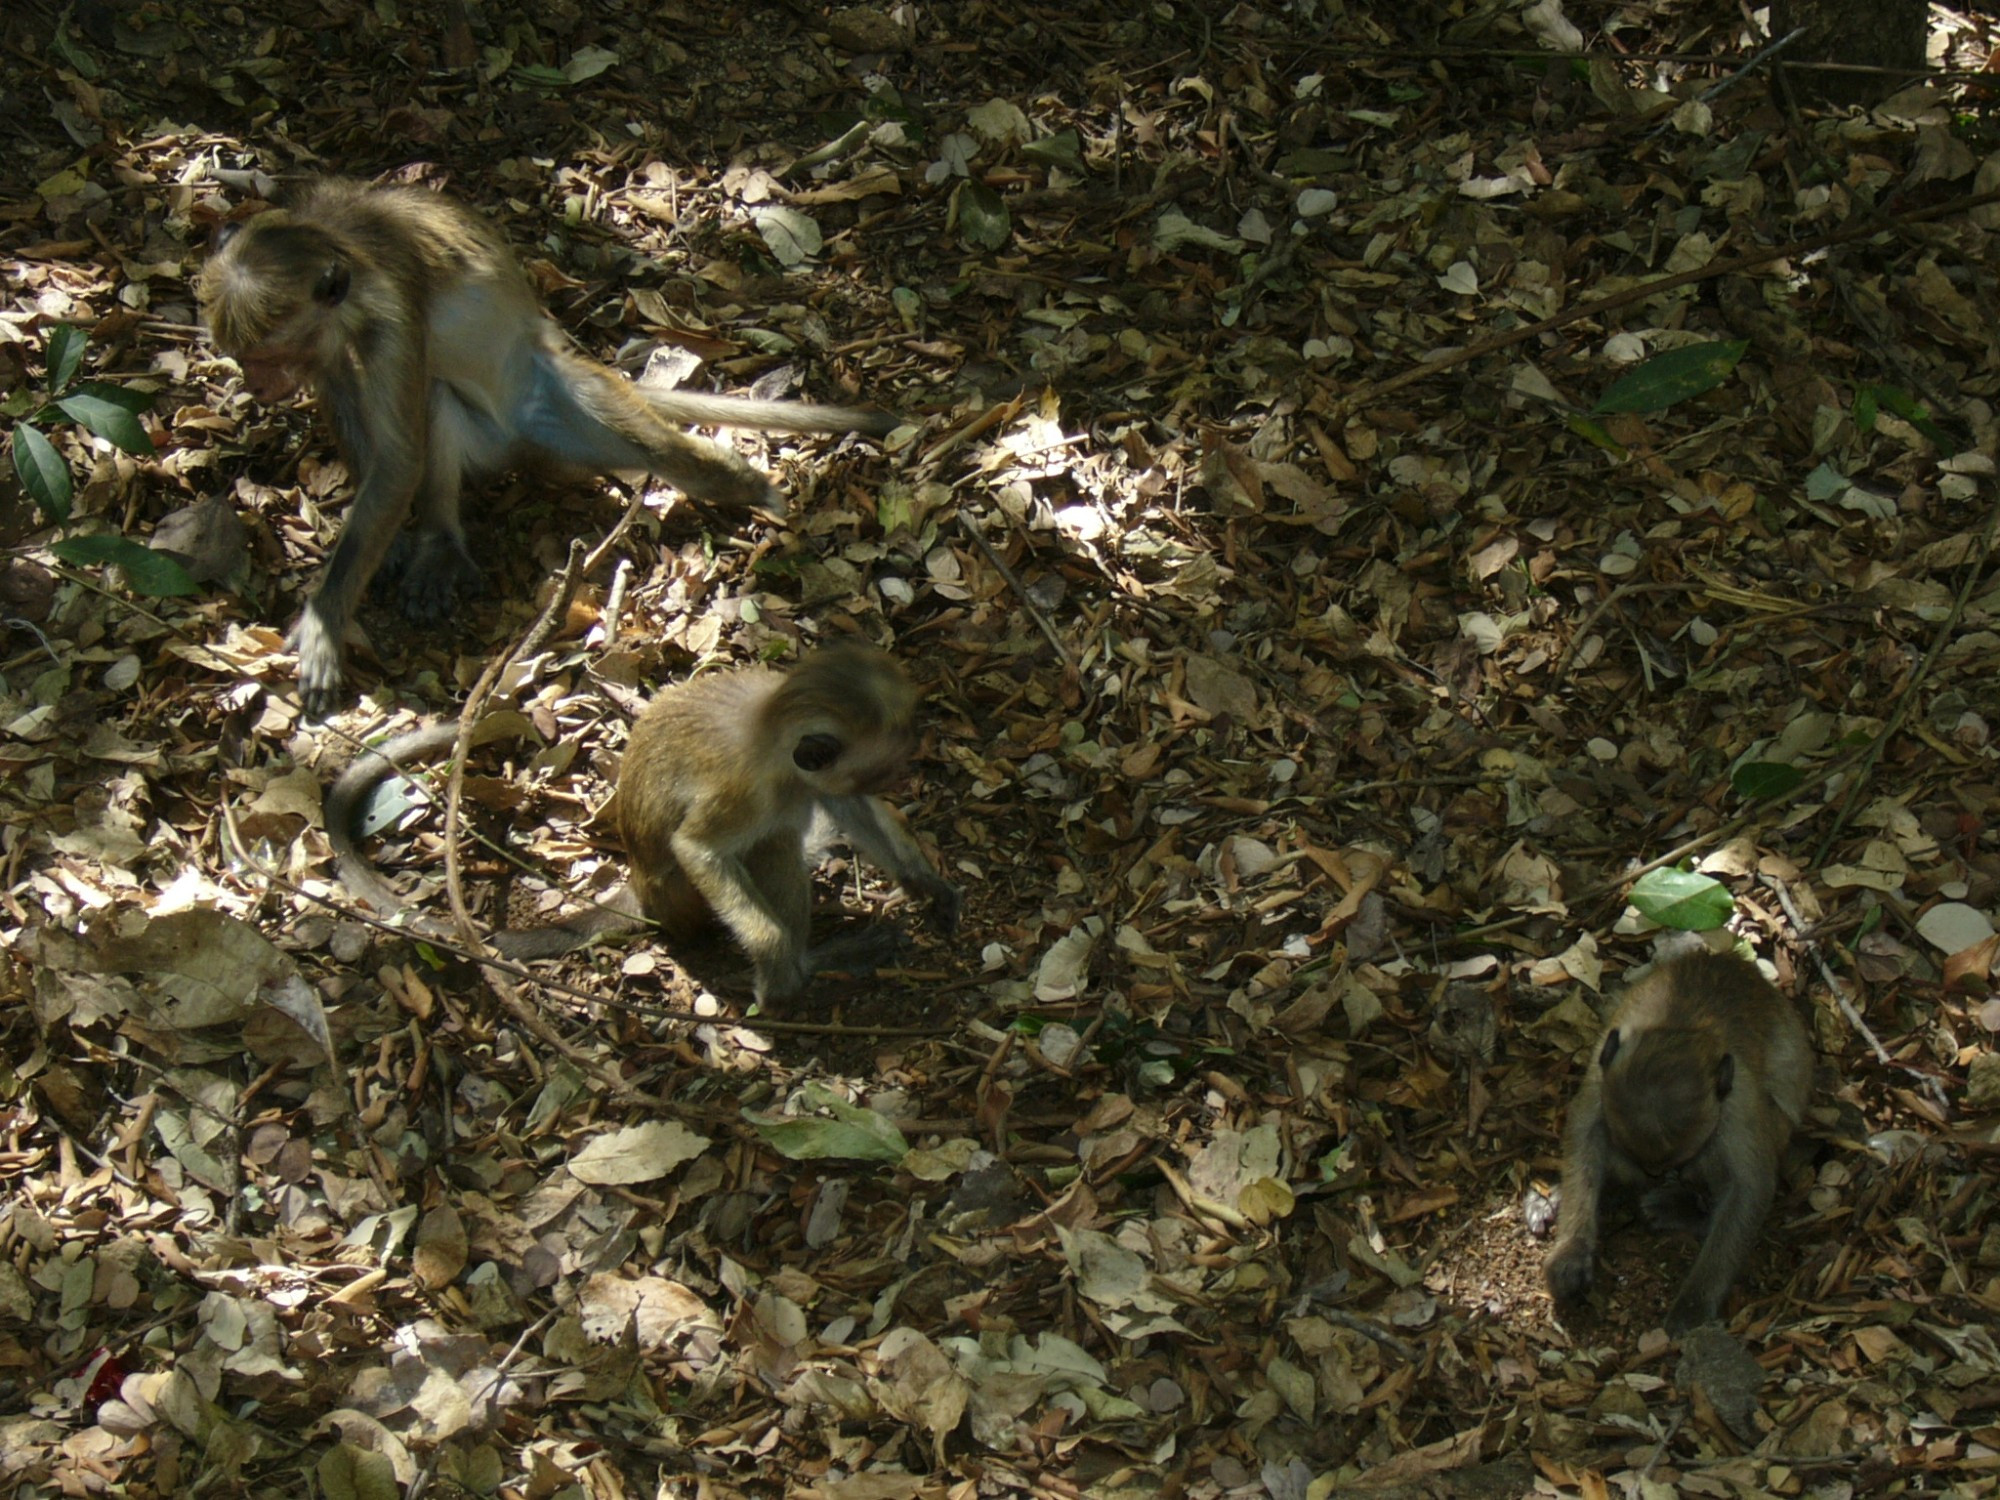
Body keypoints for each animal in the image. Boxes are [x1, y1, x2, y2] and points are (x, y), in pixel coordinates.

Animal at [197, 179, 900, 720]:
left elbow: (399, 459)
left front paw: (325, 617)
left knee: (465, 401)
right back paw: (435, 538)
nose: (256, 385)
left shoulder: (392, 310)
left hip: (555, 408)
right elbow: (354, 405)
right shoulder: (332, 337)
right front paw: (381, 550)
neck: (341, 243)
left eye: (266, 356)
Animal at [322, 640, 960, 1004]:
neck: (772, 729)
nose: (901, 779)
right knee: (770, 845)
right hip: (683, 900)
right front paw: (782, 973)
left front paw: (926, 884)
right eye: (887, 766)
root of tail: (641, 887)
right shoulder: (752, 789)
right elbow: (698, 849)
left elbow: (844, 806)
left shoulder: (812, 778)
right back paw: (810, 968)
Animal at [1544, 944, 1816, 1344]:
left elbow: (1749, 1187)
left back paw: (1683, 1210)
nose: (1657, 1176)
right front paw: (1572, 1250)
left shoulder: (1737, 1104)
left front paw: (1694, 1302)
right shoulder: (1603, 1072)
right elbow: (1585, 1132)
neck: (1681, 1025)